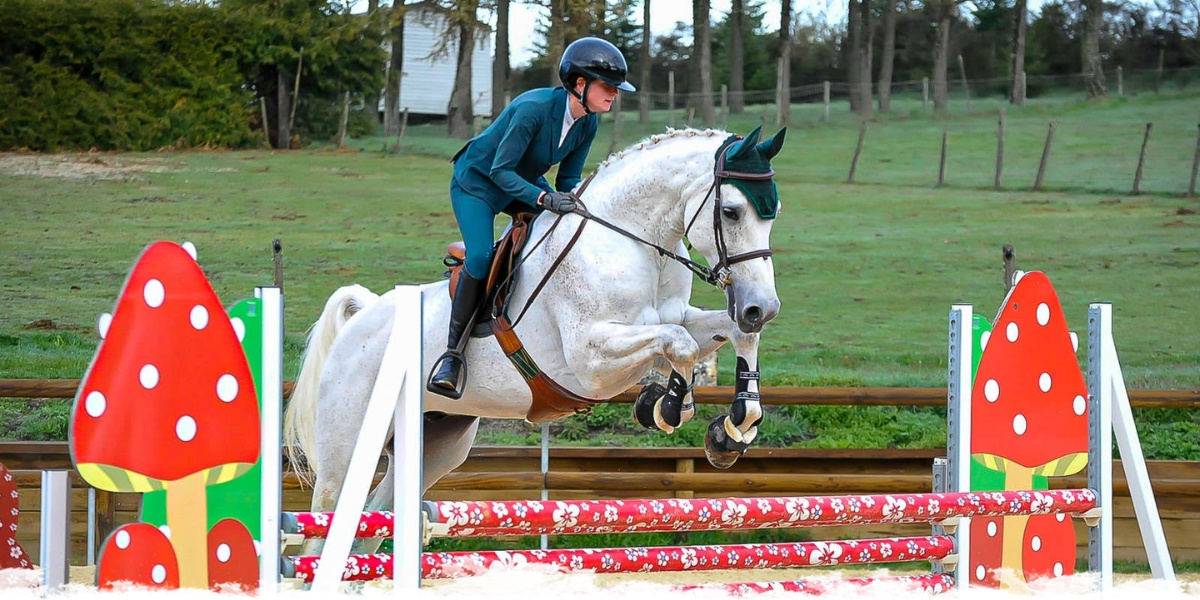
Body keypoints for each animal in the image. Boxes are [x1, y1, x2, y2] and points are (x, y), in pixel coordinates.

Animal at [282, 125, 787, 552]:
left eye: (773, 215)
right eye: (731, 211)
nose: (762, 307)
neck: (633, 243)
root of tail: (363, 316)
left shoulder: (676, 319)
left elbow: (722, 335)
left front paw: (733, 428)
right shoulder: (590, 360)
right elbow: (679, 343)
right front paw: (668, 405)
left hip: (435, 445)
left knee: (370, 524)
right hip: (347, 448)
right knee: (322, 528)